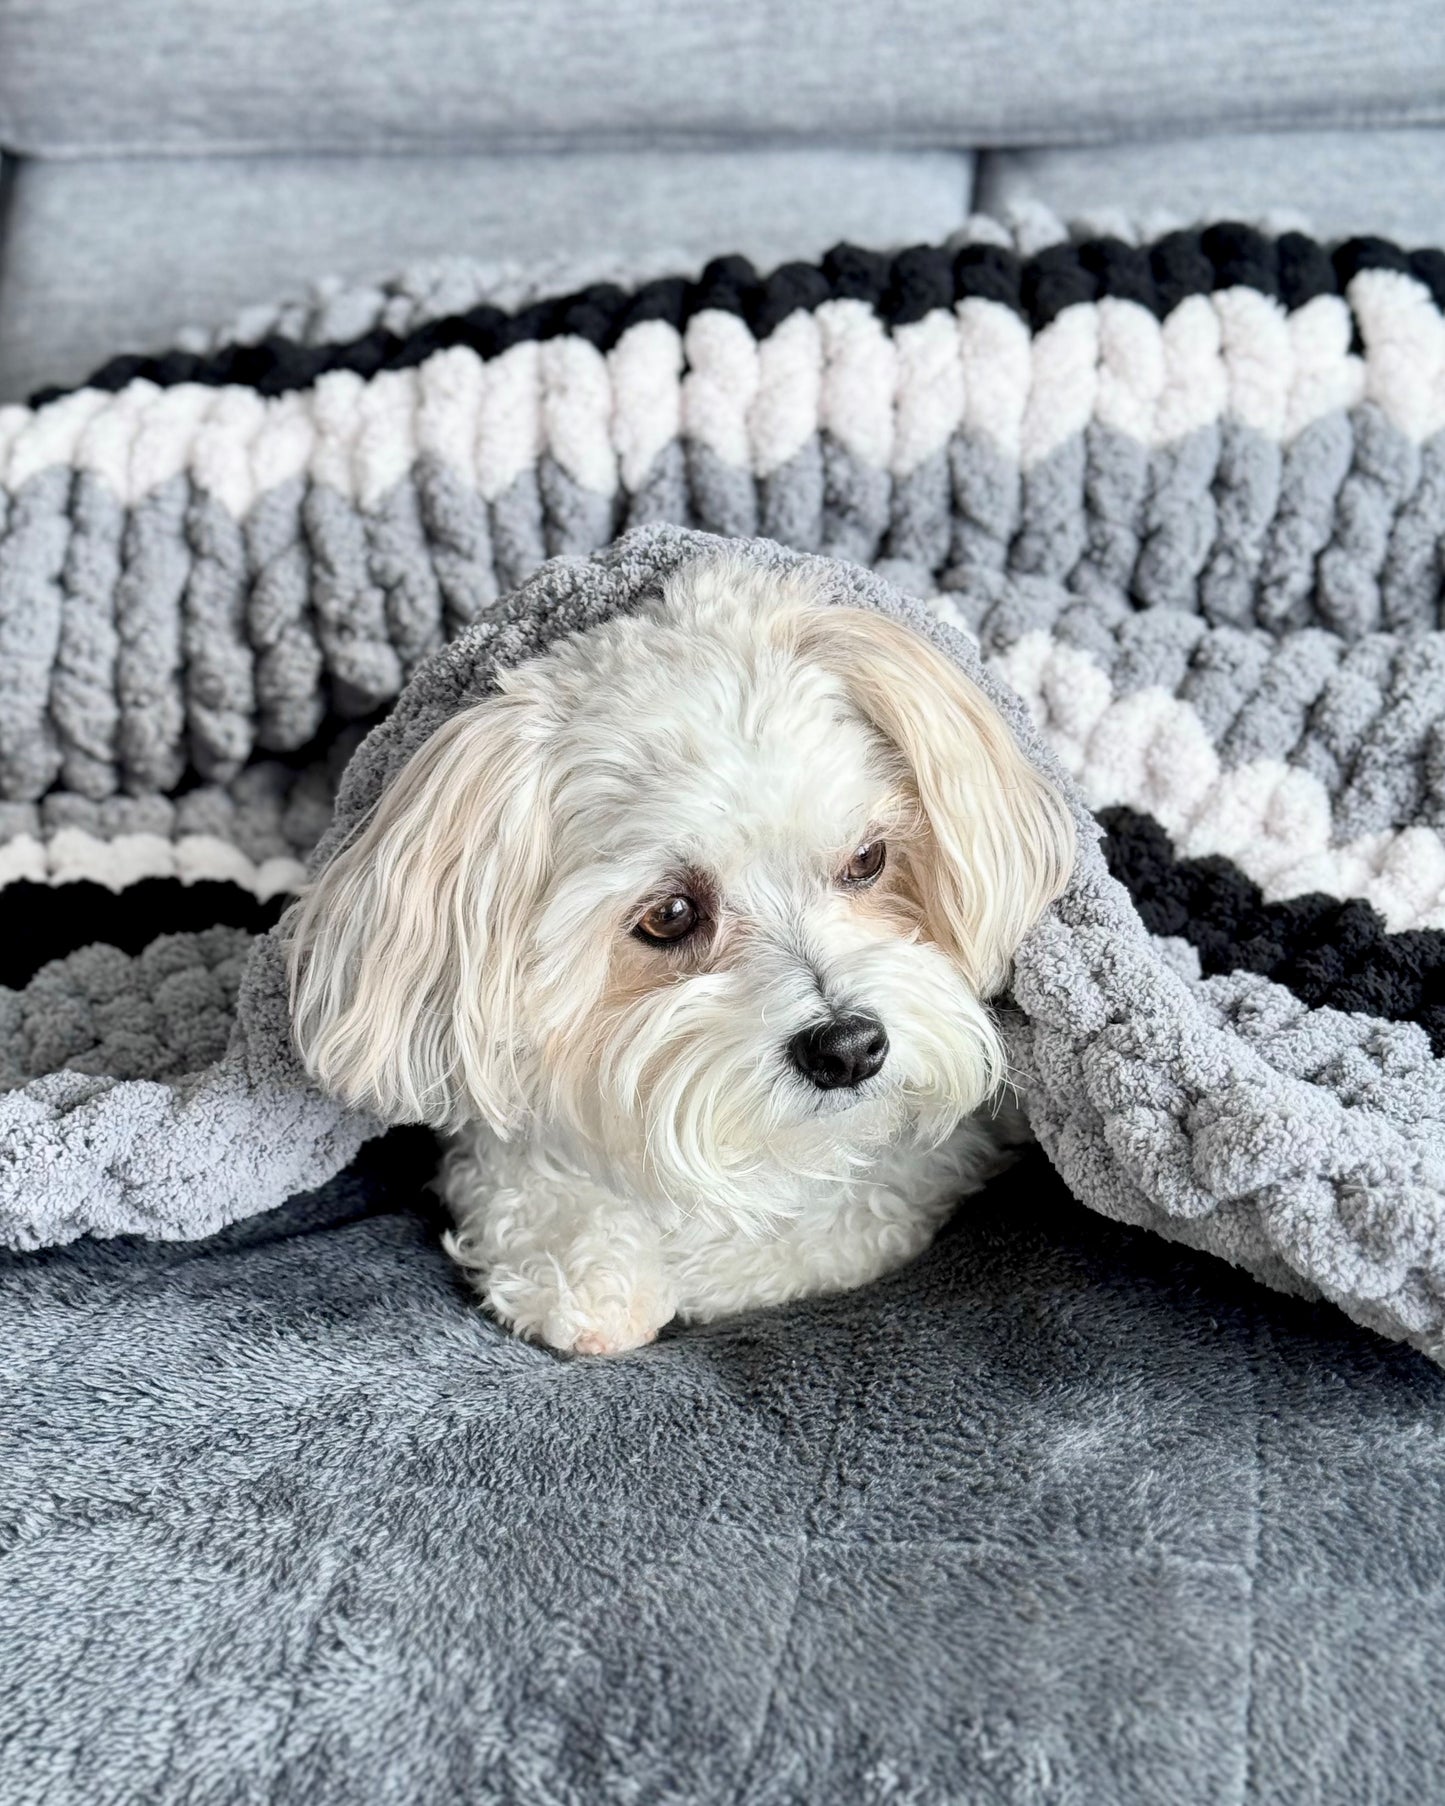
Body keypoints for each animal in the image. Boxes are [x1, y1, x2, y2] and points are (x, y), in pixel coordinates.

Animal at [285, 563, 1069, 1358]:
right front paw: (592, 1275)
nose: (848, 1048)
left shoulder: (918, 1173)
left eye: (868, 859)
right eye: (668, 915)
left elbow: (842, 1218)